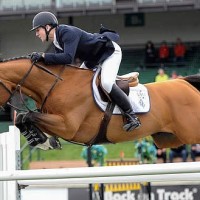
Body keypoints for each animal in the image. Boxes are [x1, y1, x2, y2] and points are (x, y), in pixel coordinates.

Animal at [0, 57, 200, 149]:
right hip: (169, 138)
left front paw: (40, 140)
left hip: (191, 133)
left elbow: (29, 116)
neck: (57, 84)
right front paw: (42, 140)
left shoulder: (68, 127)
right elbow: (23, 118)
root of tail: (184, 83)